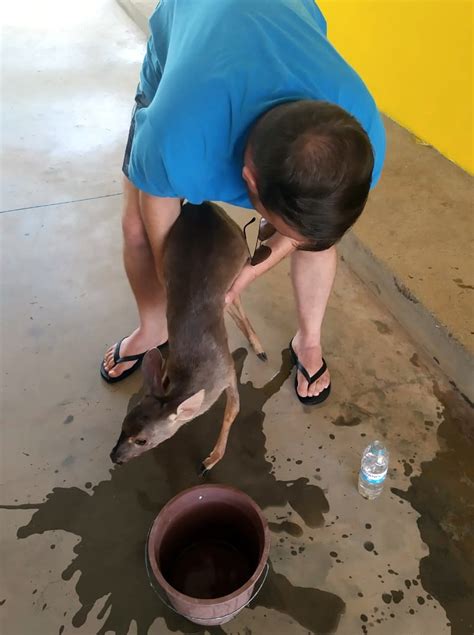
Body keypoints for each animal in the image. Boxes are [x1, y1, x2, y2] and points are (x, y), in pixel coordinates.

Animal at [110, 201, 274, 474]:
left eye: (142, 440)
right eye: (124, 424)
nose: (115, 457)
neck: (195, 371)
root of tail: (203, 205)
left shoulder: (226, 373)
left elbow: (232, 412)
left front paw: (210, 460)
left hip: (237, 250)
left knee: (239, 296)